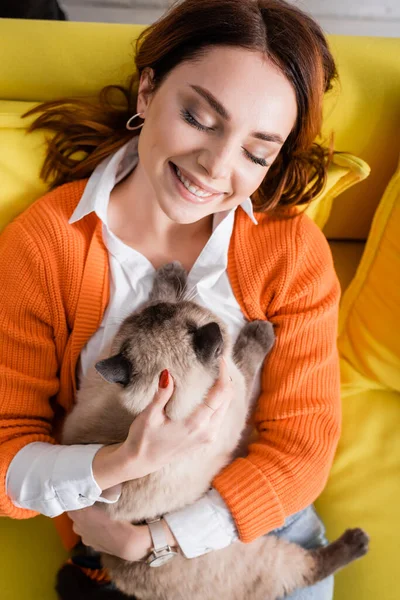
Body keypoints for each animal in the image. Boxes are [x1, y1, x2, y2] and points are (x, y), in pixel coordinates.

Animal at [61, 262, 370, 600]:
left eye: (162, 311)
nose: (163, 306)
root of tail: (114, 567)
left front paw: (170, 275)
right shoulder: (239, 386)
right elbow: (247, 354)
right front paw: (258, 330)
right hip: (263, 557)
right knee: (306, 570)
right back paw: (357, 542)